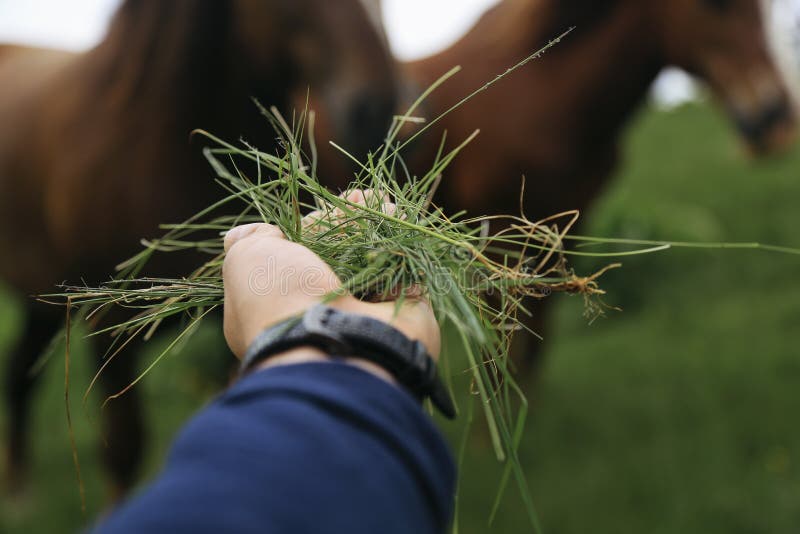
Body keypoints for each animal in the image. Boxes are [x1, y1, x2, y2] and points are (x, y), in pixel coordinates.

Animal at [404, 0, 796, 375]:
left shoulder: (567, 225)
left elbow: (532, 349)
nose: (777, 120)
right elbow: (501, 354)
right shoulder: (500, 235)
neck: (545, 90)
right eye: (715, 3)